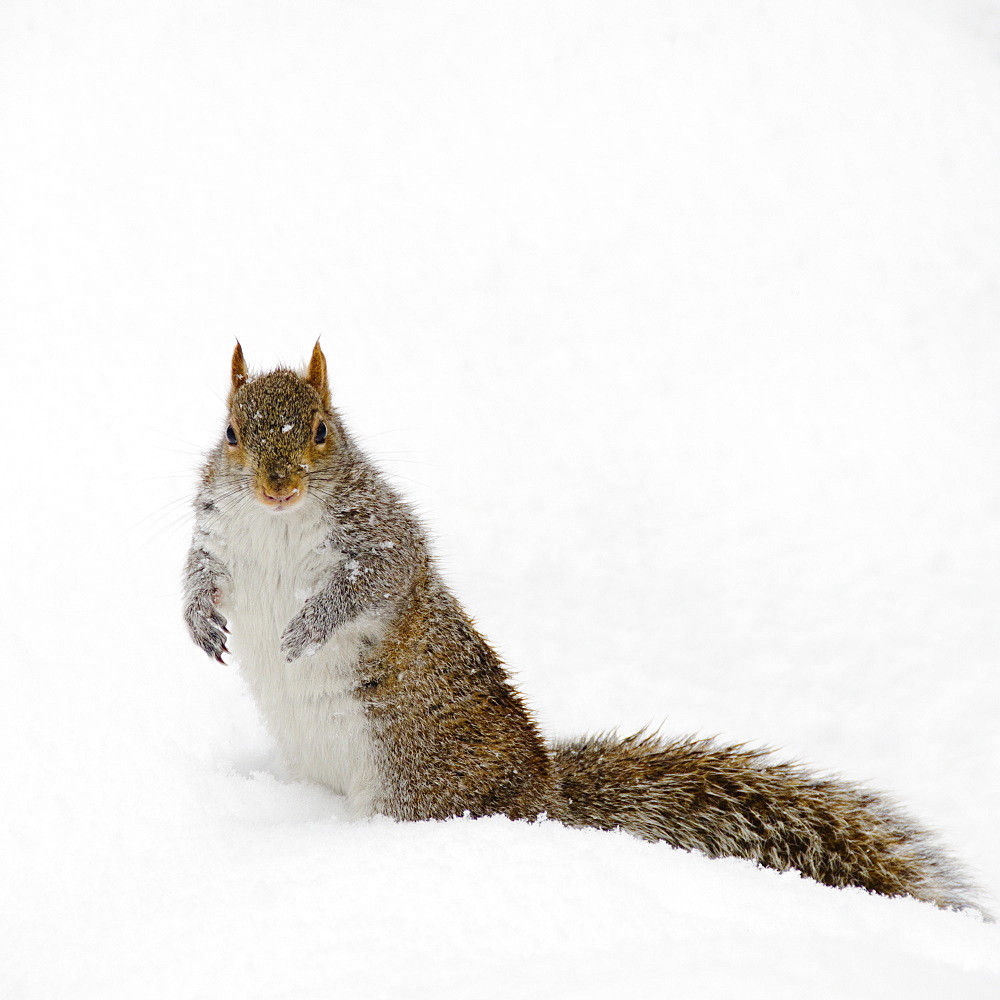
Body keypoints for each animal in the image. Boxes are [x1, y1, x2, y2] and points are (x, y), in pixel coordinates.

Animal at [186, 344, 984, 916]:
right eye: (230, 433)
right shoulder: (215, 536)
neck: (274, 525)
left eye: (323, 430)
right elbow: (196, 575)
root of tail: (544, 797)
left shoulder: (381, 542)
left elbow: (368, 585)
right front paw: (198, 622)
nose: (277, 486)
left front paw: (302, 631)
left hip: (416, 781)